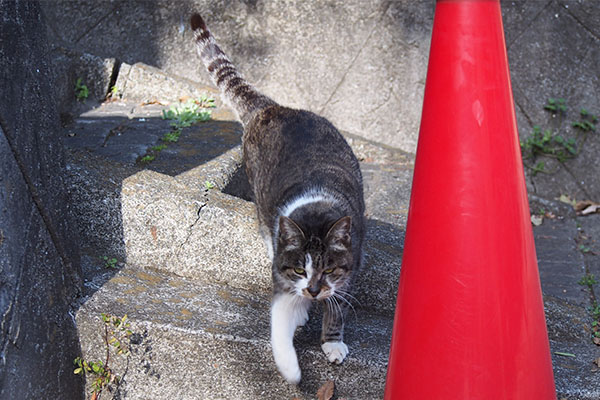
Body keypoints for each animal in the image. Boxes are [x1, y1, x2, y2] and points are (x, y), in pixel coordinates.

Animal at [191, 13, 366, 384]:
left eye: (329, 268)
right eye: (301, 268)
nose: (312, 290)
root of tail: (271, 107)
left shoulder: (349, 271)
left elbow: (337, 311)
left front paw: (332, 343)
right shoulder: (284, 277)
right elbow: (281, 321)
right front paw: (291, 369)